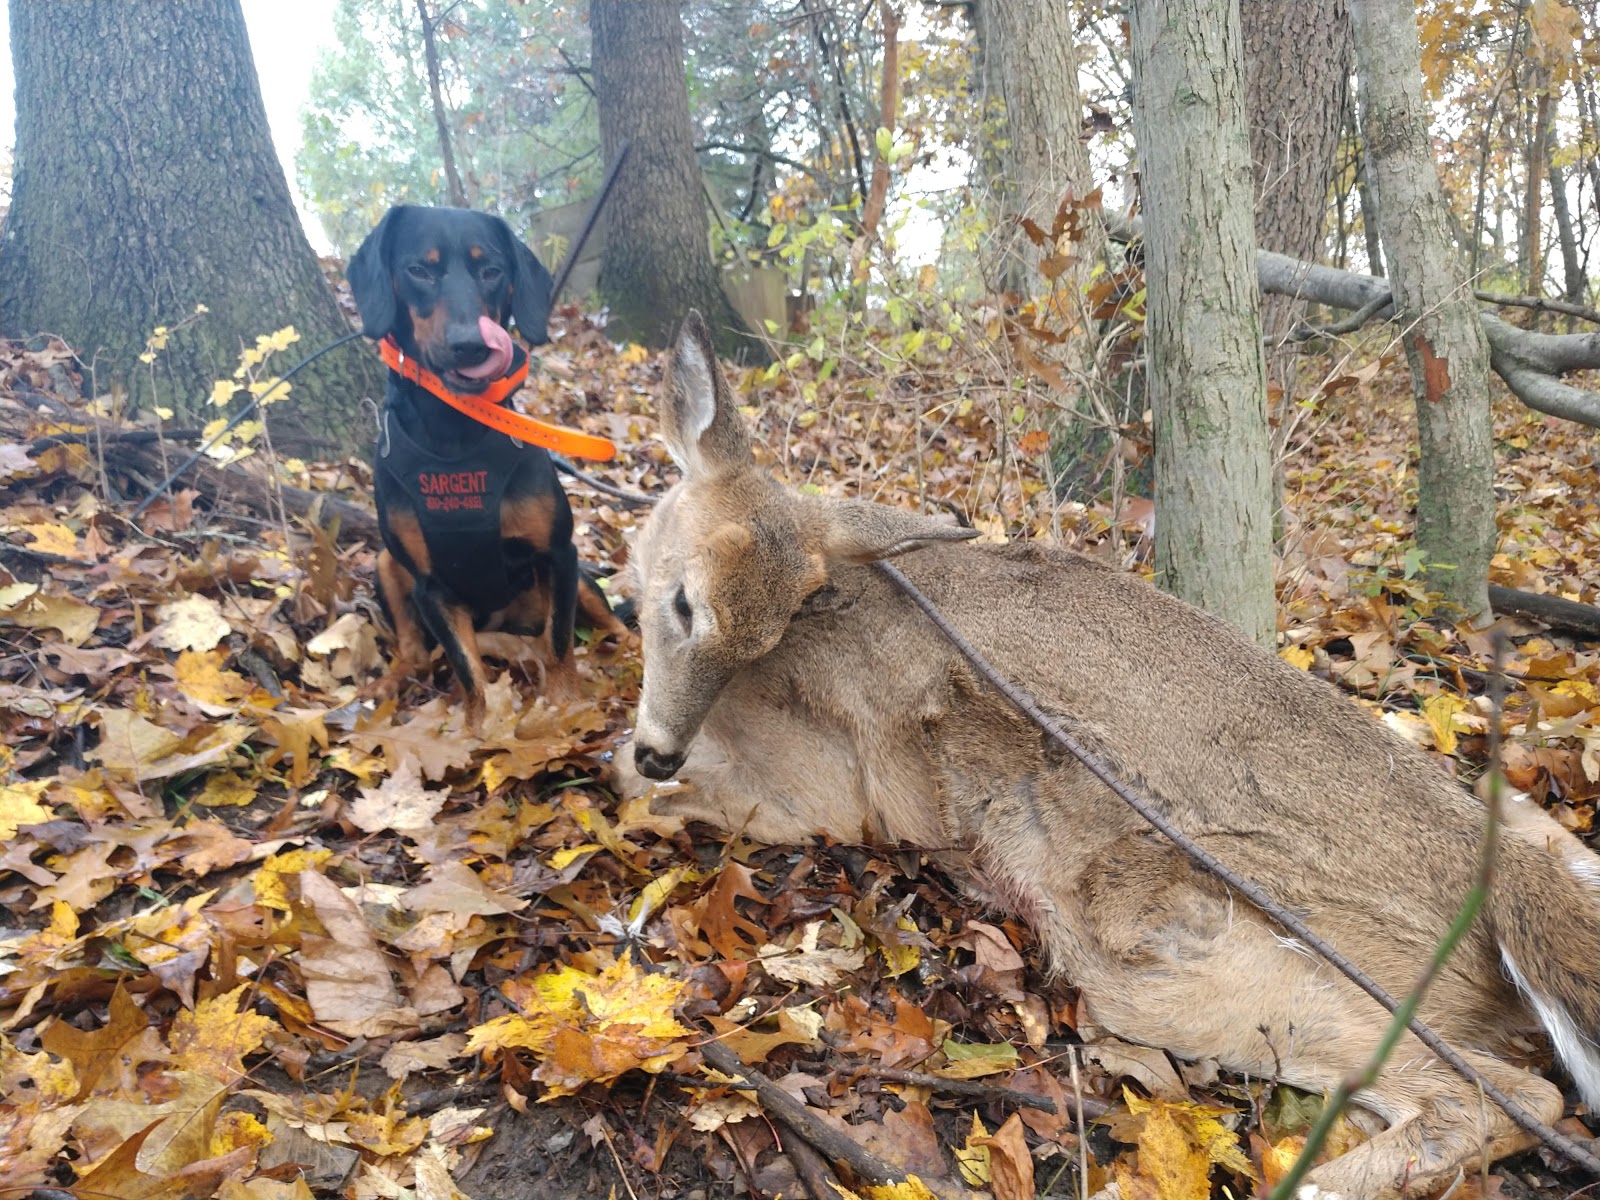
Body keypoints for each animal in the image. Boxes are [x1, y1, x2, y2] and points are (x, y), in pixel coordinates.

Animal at [615, 310, 1600, 1200]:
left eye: (710, 614)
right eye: (684, 603)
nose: (664, 746)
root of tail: (1510, 882)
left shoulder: (829, 794)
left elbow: (647, 788)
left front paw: (635, 786)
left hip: (1190, 958)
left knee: (1515, 1097)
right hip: (1522, 835)